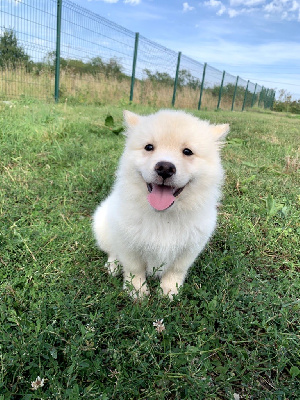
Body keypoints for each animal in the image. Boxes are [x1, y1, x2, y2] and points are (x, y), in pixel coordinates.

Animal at [92, 109, 229, 296]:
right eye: (149, 147)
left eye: (187, 151)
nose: (165, 168)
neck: (164, 216)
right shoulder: (128, 243)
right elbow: (134, 269)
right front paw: (137, 291)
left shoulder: (190, 248)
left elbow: (176, 270)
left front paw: (170, 289)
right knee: (112, 250)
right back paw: (113, 265)